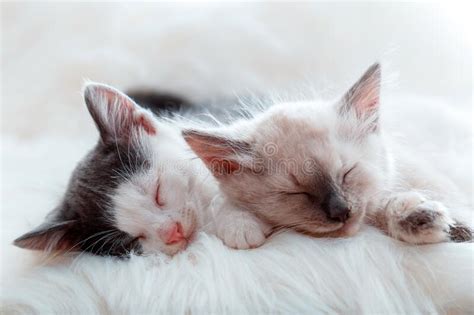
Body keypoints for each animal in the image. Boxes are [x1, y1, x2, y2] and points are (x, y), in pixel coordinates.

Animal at [183, 63, 472, 247]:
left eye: (347, 173)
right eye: (296, 192)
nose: (341, 212)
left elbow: (384, 202)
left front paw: (425, 220)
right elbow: (223, 204)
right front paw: (242, 227)